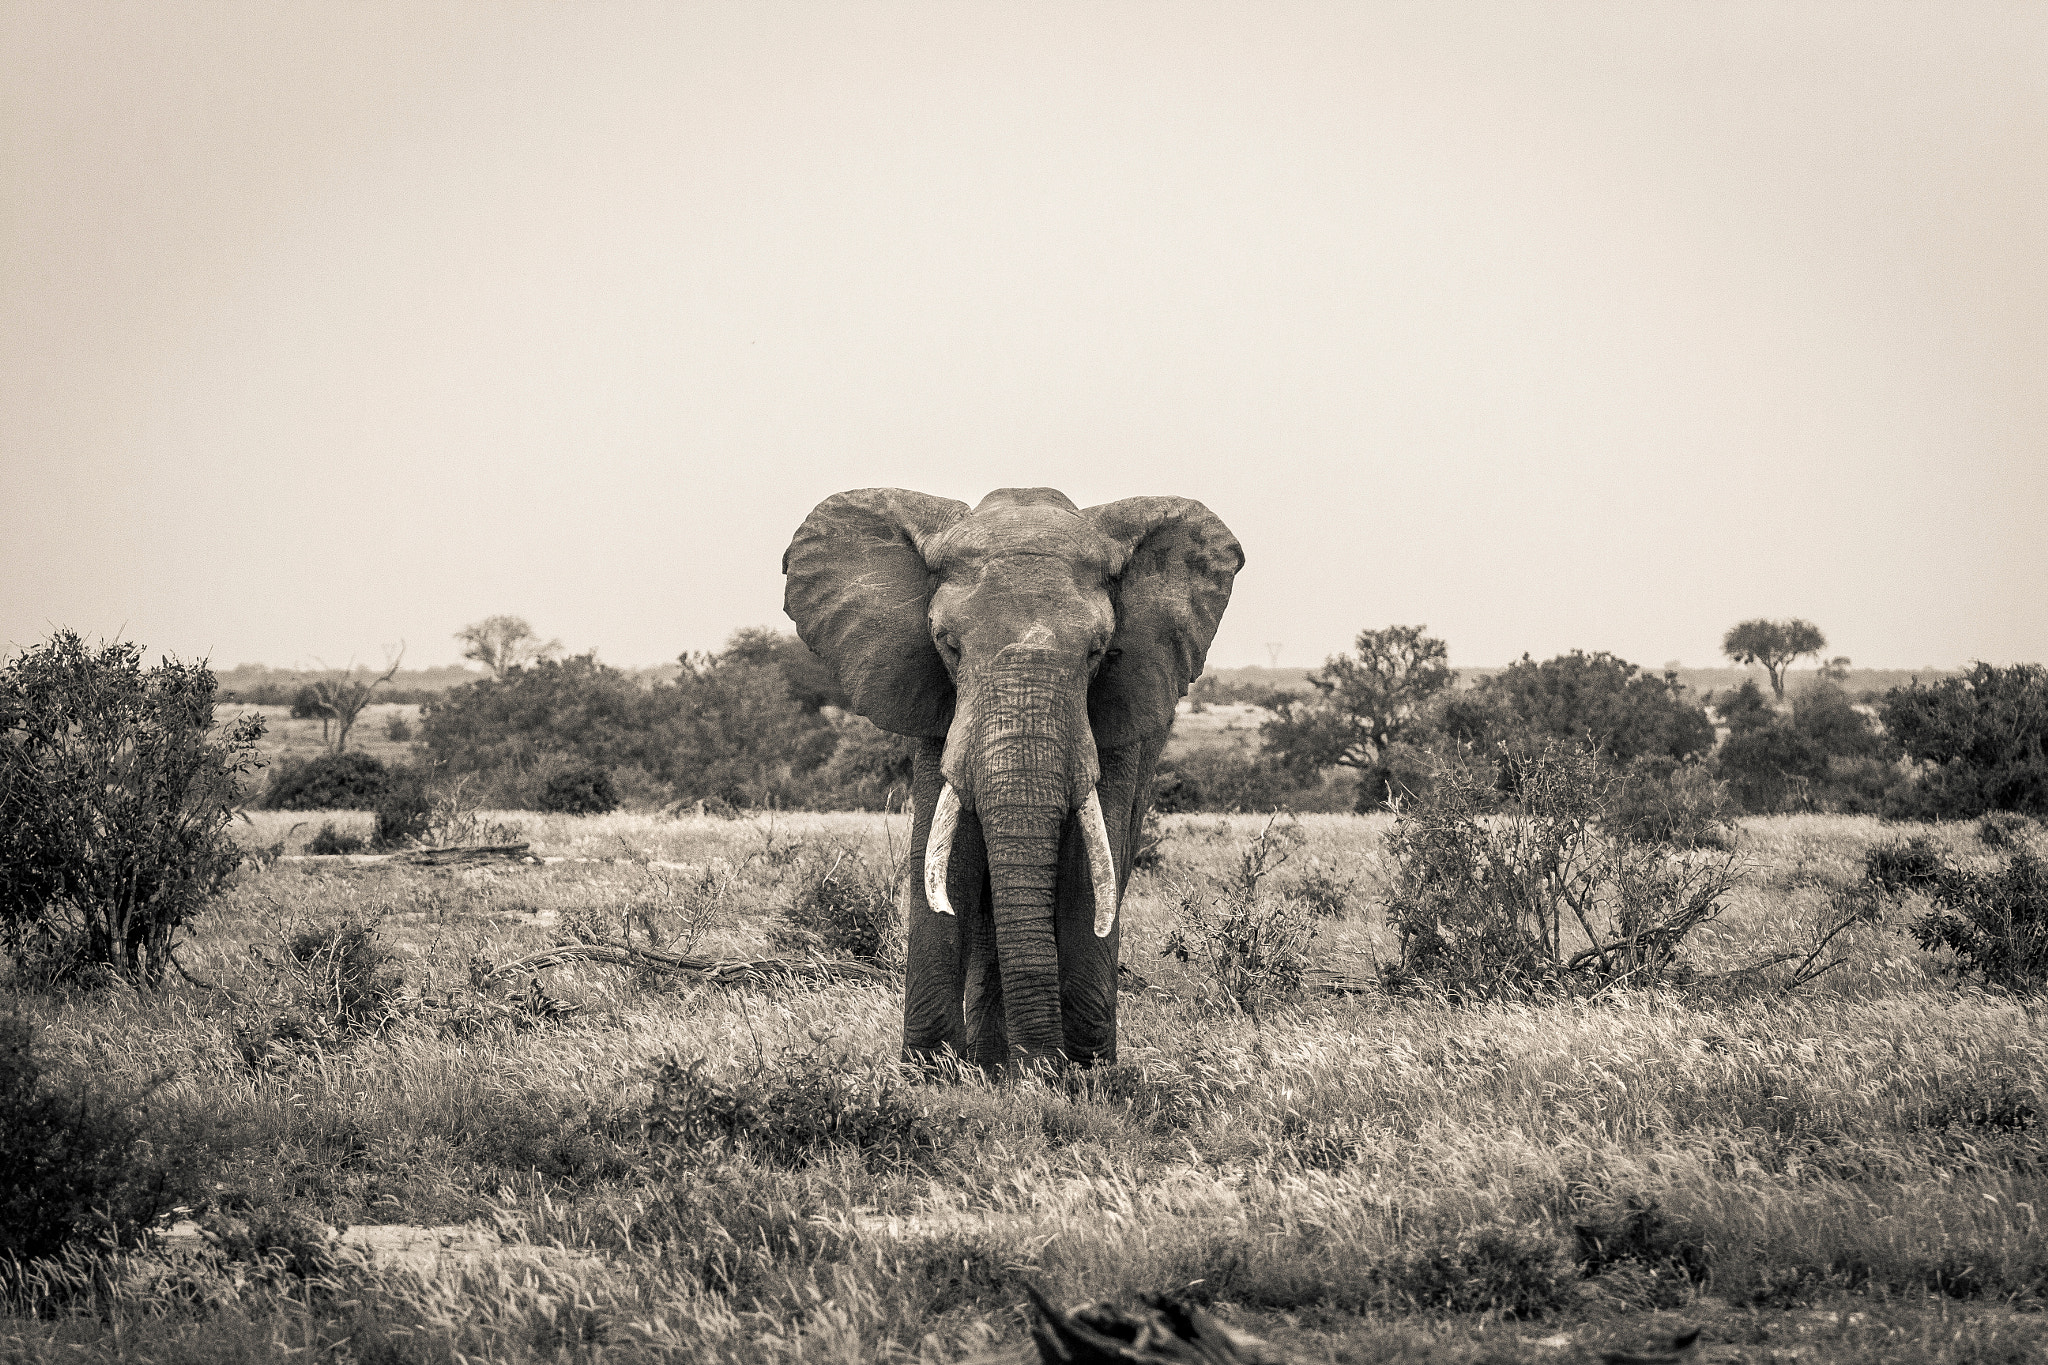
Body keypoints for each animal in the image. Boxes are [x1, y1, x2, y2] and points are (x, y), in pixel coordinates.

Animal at [774, 491, 1236, 1080]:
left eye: (1099, 652)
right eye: (947, 645)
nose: (1044, 1066)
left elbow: (1088, 871)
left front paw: (1085, 1079)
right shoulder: (937, 707)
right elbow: (947, 857)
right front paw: (930, 1076)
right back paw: (991, 1064)